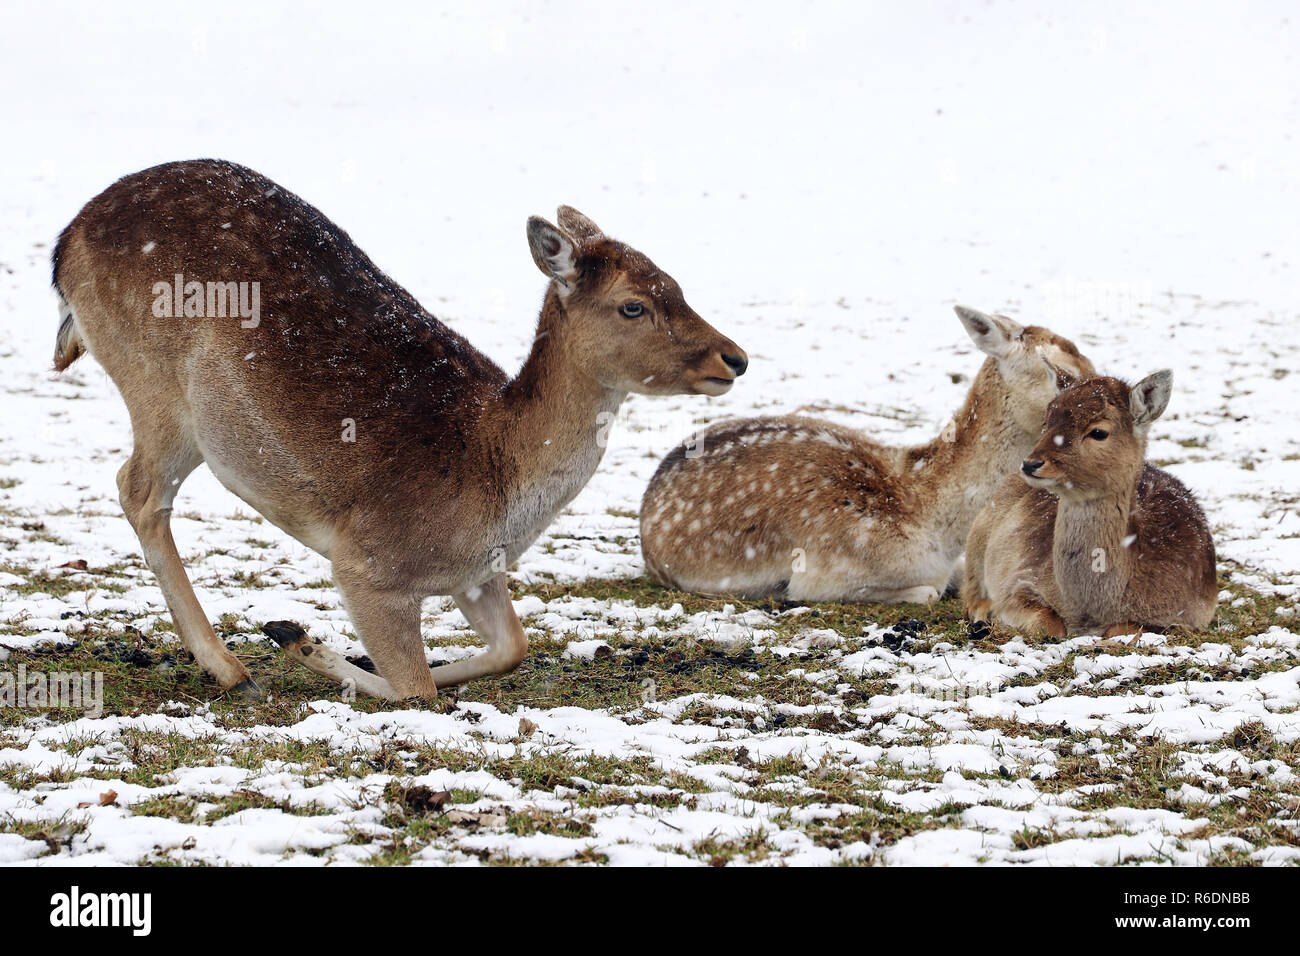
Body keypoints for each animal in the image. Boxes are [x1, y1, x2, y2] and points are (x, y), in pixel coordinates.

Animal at [50, 155, 748, 697]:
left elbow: (512, 648)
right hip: (161, 389)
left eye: (676, 283)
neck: (495, 473)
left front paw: (297, 638)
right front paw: (299, 641)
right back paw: (230, 670)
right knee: (138, 488)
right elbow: (417, 692)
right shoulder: (370, 565)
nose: (734, 358)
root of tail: (66, 241)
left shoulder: (477, 575)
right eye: (634, 306)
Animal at [967, 369, 1216, 639]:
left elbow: (1123, 628)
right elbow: (1048, 621)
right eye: (1046, 421)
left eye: (1098, 432)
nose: (1031, 463)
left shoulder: (1191, 617)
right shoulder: (1018, 579)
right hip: (977, 539)